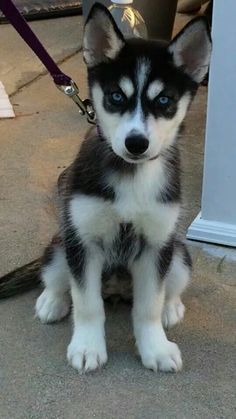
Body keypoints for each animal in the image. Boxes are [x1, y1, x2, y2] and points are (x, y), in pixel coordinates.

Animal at [33, 2, 212, 370]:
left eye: (164, 101)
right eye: (116, 96)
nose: (136, 144)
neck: (132, 175)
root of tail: (116, 291)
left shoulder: (156, 245)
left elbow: (149, 307)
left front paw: (155, 347)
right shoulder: (83, 241)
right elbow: (87, 304)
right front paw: (87, 346)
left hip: (178, 254)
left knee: (169, 289)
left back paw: (172, 307)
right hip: (60, 243)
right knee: (58, 279)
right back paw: (52, 302)